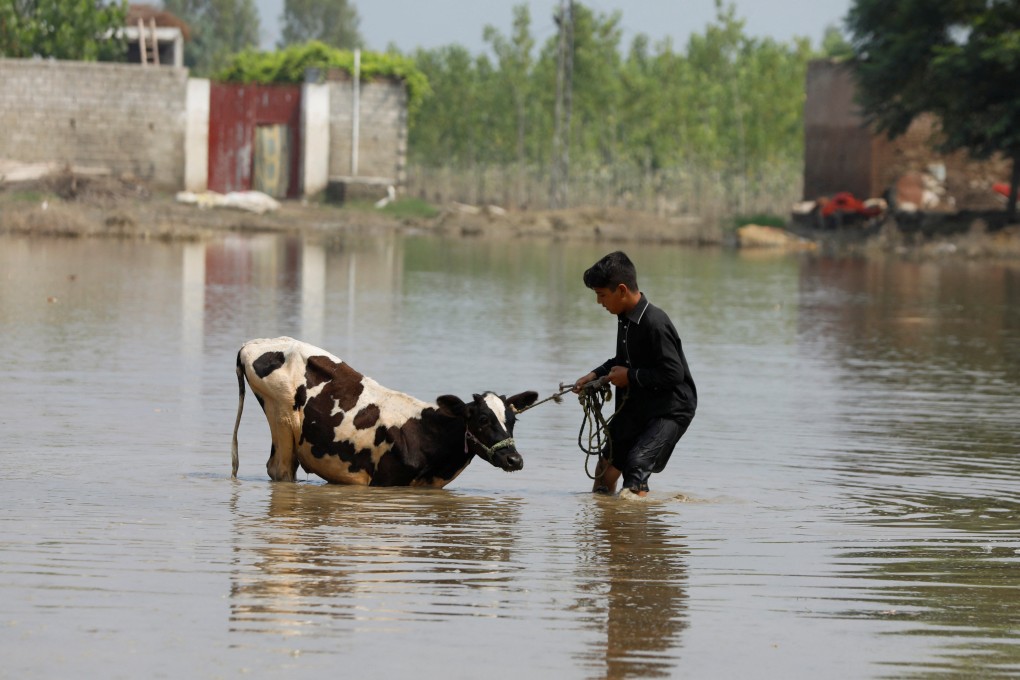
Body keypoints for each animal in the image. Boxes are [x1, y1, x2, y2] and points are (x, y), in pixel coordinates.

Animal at [231, 337, 539, 487]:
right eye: (483, 419)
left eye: (513, 420)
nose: (514, 459)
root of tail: (252, 344)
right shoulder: (384, 483)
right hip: (281, 419)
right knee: (280, 470)